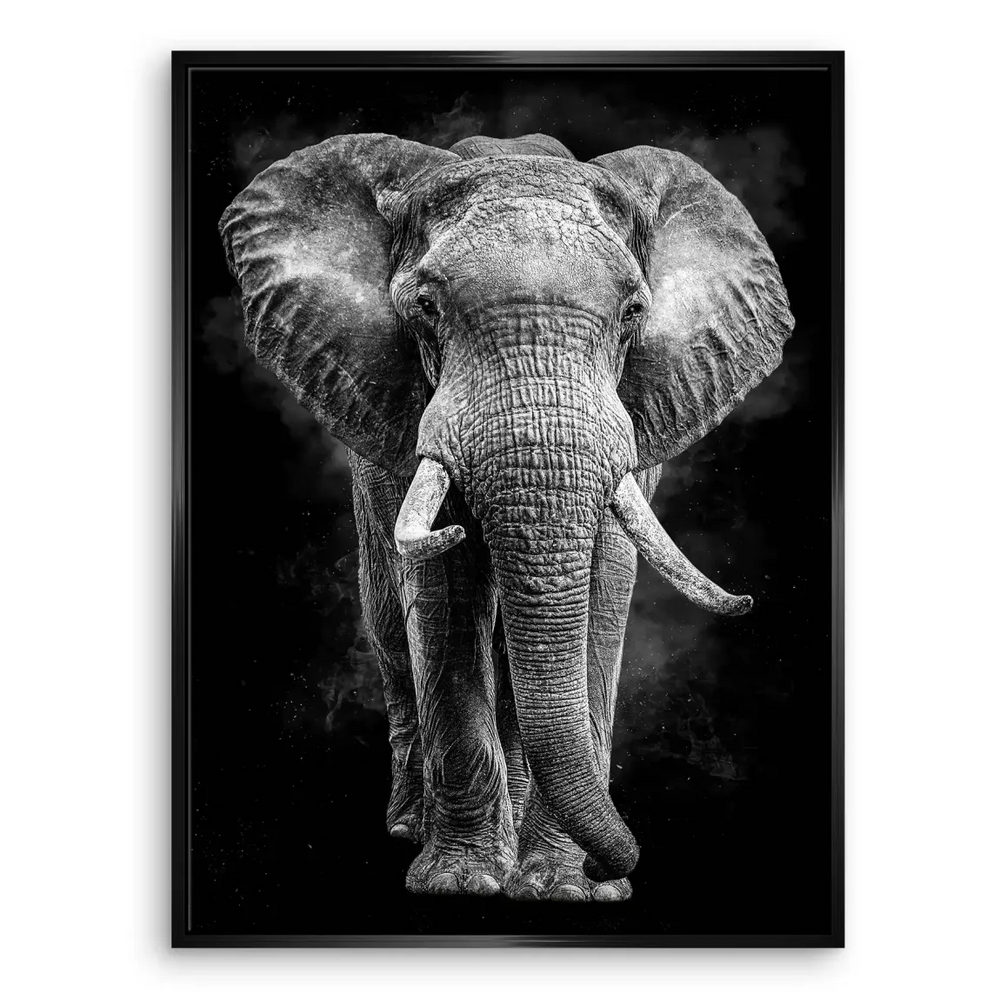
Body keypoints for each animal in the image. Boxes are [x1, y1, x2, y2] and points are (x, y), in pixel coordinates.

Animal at [219, 131, 794, 902]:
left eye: (634, 313)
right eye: (426, 308)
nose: (613, 867)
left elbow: (602, 588)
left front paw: (569, 888)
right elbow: (444, 595)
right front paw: (459, 882)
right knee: (390, 623)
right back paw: (412, 828)